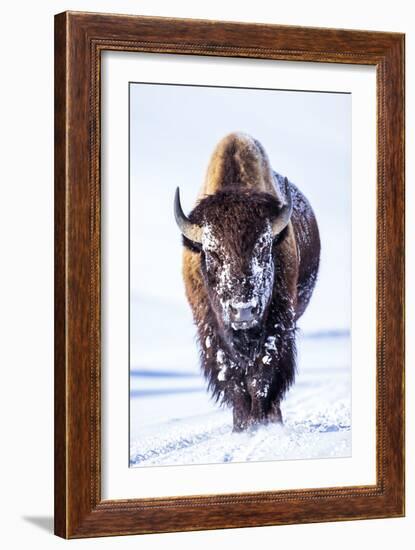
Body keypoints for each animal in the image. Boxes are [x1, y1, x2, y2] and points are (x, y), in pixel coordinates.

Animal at [174, 133, 320, 432]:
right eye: (212, 253)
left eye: (264, 248)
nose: (243, 311)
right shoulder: (211, 330)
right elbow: (232, 377)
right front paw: (242, 426)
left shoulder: (278, 324)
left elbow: (263, 373)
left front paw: (262, 422)